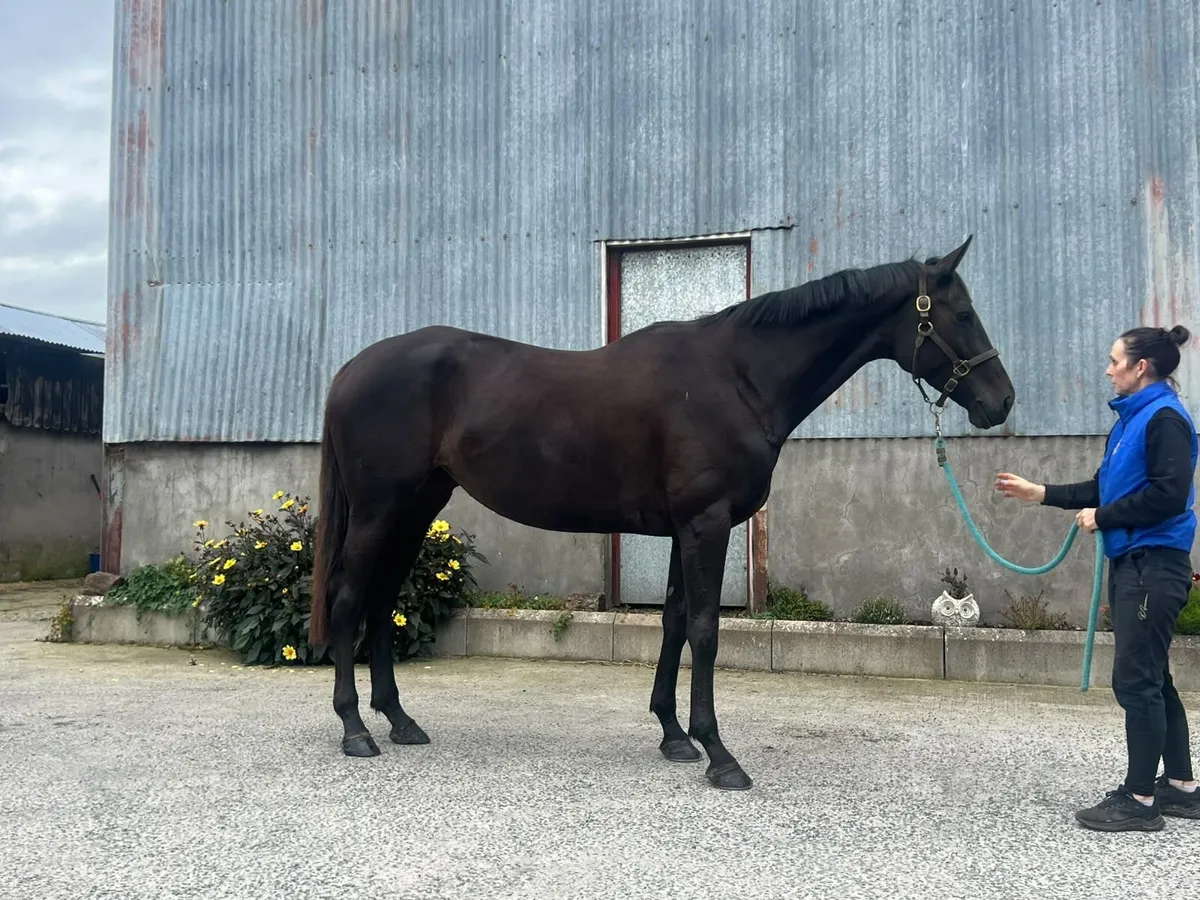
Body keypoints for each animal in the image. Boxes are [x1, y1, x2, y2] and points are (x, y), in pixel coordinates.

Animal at [307, 235, 1015, 790]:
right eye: (961, 313)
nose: (1002, 400)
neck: (736, 378)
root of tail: (348, 371)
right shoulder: (706, 523)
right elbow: (704, 629)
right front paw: (720, 754)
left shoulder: (685, 529)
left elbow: (674, 622)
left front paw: (675, 736)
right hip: (379, 510)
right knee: (349, 597)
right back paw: (354, 729)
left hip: (416, 508)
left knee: (380, 601)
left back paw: (400, 722)